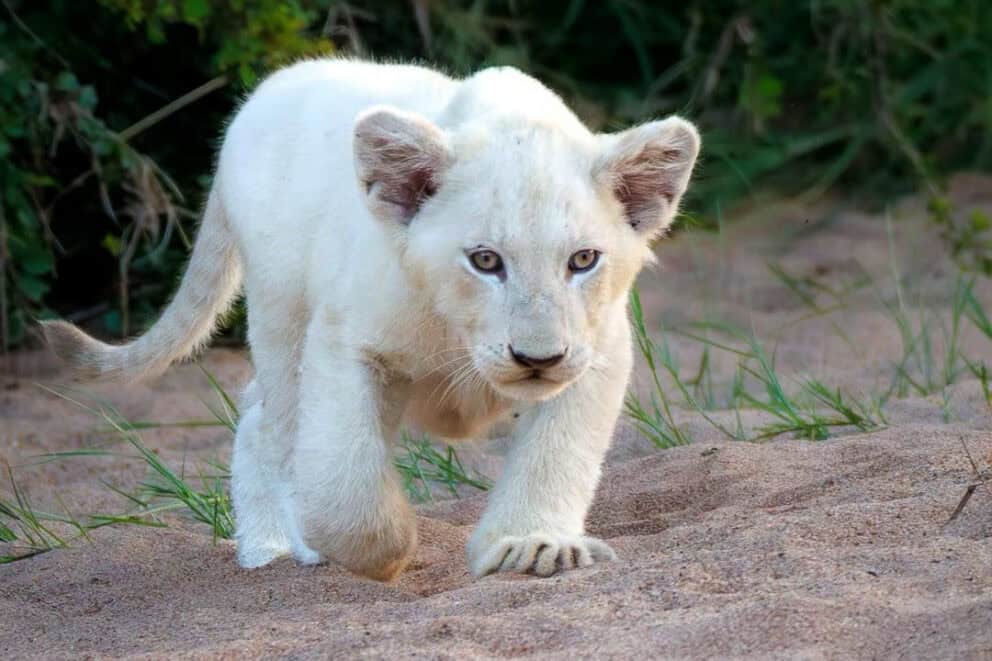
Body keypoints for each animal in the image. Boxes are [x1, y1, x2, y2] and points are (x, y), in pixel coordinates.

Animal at [42, 59, 700, 581]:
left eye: (583, 260)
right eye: (486, 260)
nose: (538, 359)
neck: (458, 331)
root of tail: (260, 95)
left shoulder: (597, 350)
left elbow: (555, 454)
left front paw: (530, 547)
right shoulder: (345, 342)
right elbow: (344, 482)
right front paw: (382, 550)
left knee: (259, 414)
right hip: (281, 313)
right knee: (275, 423)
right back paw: (277, 549)